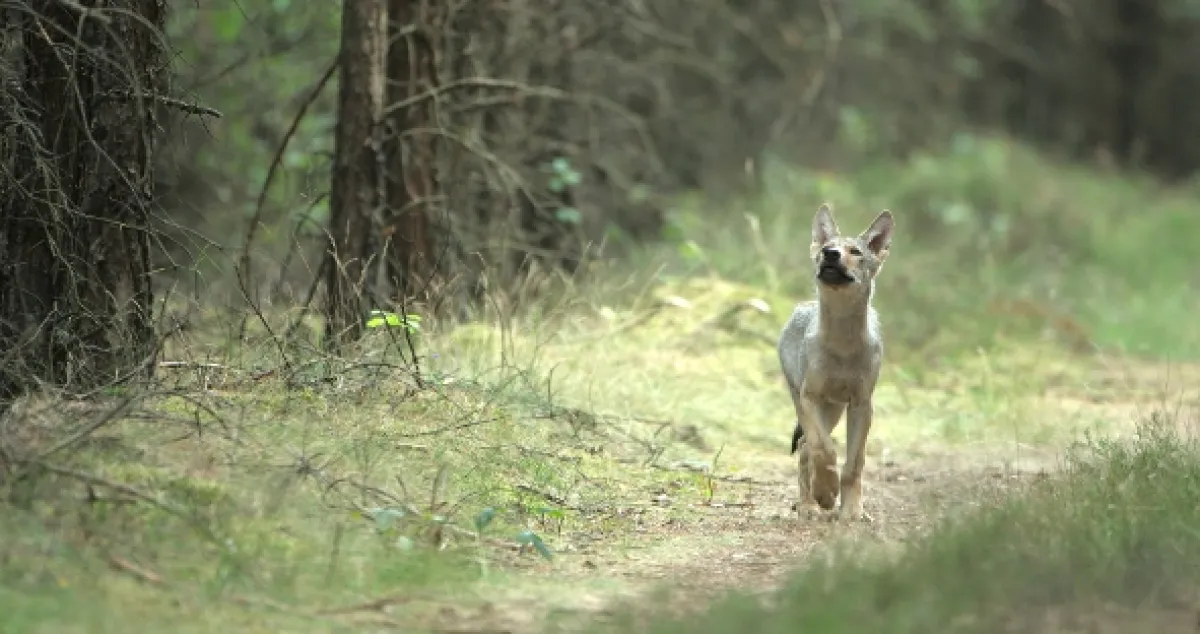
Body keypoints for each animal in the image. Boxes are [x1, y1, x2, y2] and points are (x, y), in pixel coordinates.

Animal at [778, 203, 894, 521]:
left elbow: (854, 463)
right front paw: (827, 494)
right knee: (806, 446)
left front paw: (852, 510)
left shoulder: (862, 405)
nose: (830, 254)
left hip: (834, 410)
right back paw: (808, 505)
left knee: (805, 447)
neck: (843, 345)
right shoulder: (811, 397)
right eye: (826, 249)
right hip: (810, 404)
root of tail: (802, 306)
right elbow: (825, 450)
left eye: (855, 251)